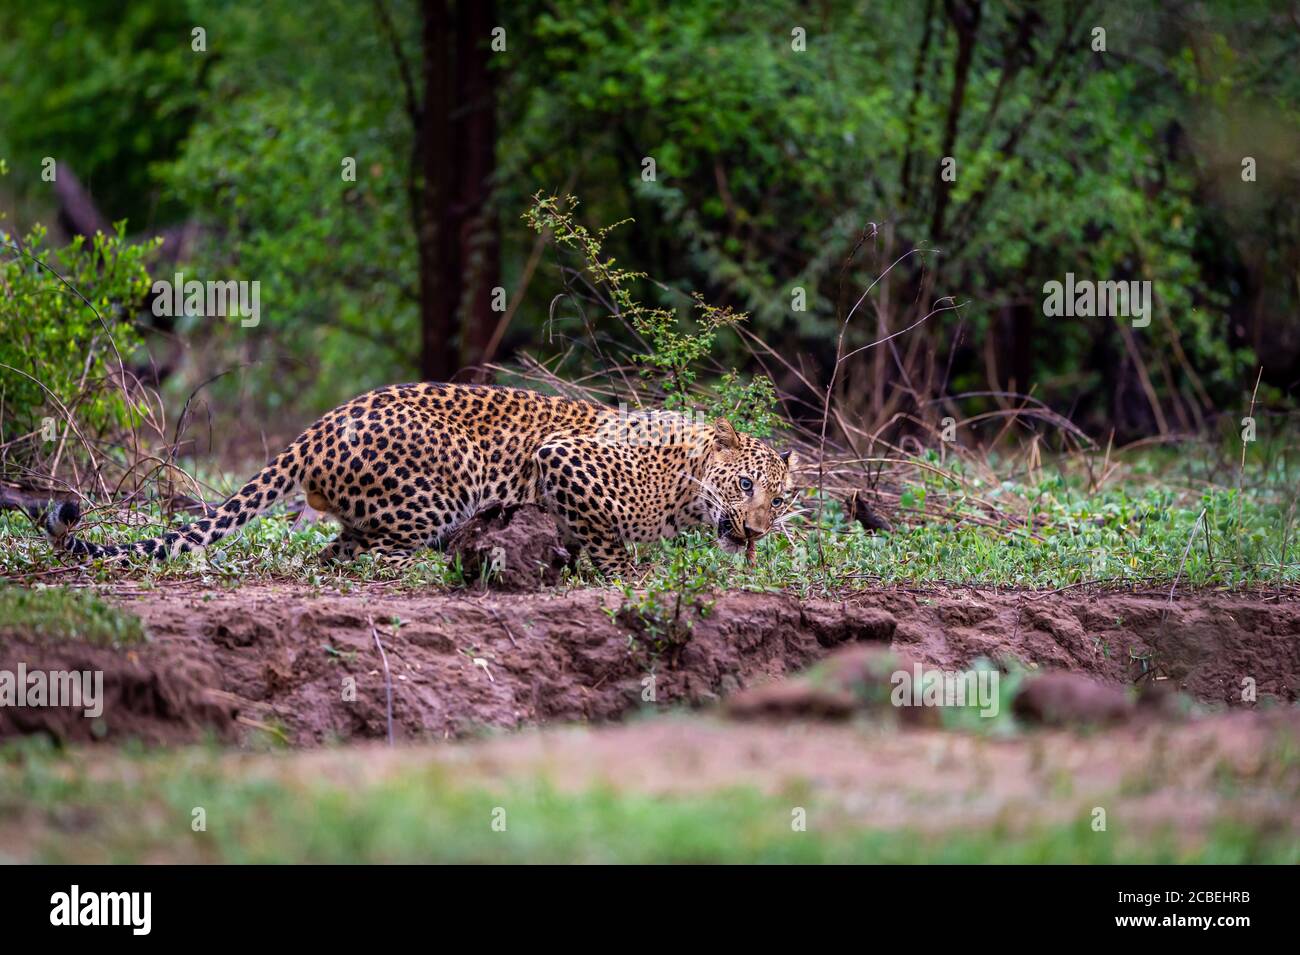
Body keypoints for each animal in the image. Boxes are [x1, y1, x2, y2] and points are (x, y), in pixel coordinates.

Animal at [38, 382, 790, 574]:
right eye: (745, 486)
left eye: (779, 501)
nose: (755, 531)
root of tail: (317, 426)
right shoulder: (561, 456)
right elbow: (606, 533)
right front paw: (621, 568)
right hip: (443, 480)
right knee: (369, 552)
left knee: (336, 548)